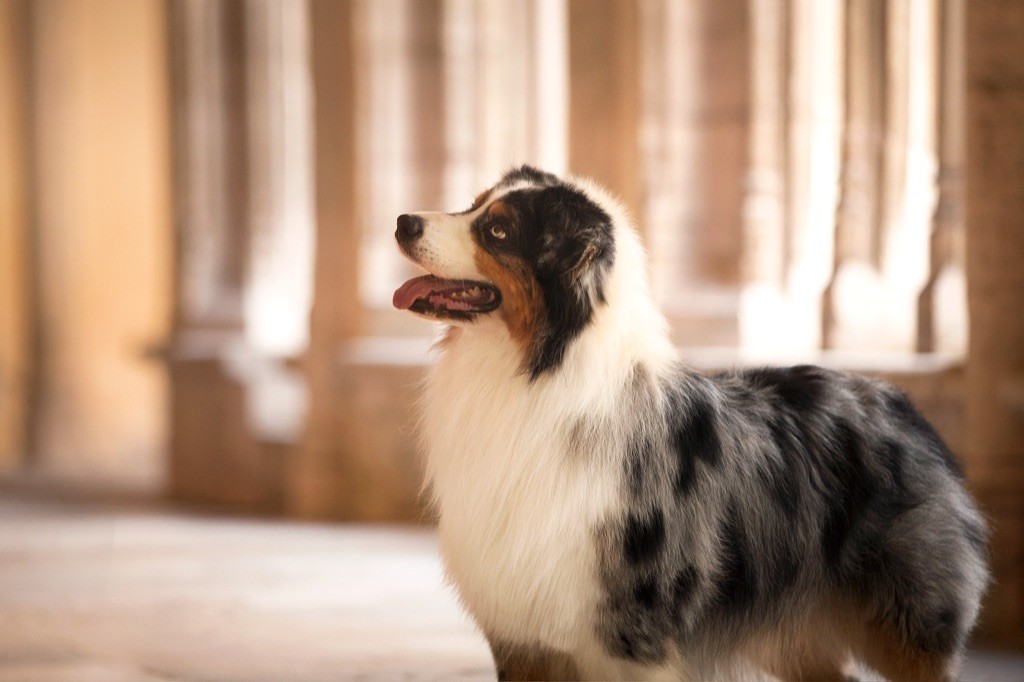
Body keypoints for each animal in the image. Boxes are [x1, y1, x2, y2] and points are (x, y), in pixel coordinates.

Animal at [389, 165, 983, 679]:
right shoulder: (522, 636)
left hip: (910, 625)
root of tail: (900, 403)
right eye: (472, 204)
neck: (532, 373)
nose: (402, 221)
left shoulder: (636, 637)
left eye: (498, 230)